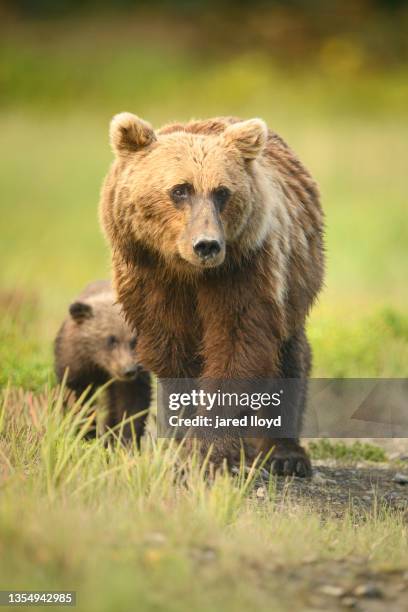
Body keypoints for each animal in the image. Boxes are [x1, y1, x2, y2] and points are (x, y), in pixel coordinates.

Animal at [53, 280, 151, 442]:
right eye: (111, 340)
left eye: (134, 341)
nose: (128, 370)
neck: (100, 366)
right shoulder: (75, 365)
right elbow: (78, 401)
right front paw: (85, 434)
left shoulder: (134, 378)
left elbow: (131, 405)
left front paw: (124, 439)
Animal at [99, 116, 326, 478]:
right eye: (180, 189)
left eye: (222, 192)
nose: (207, 244)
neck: (189, 272)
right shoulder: (151, 277)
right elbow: (173, 354)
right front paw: (186, 444)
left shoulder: (242, 271)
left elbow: (237, 345)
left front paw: (209, 451)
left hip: (296, 278)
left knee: (289, 358)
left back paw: (285, 455)